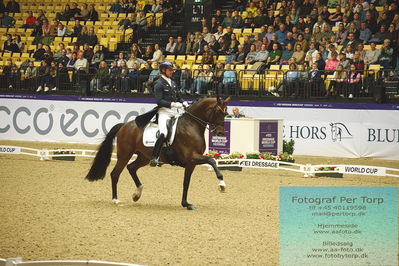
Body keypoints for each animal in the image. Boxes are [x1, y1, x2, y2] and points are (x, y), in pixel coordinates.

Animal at [86, 96, 230, 211]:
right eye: (218, 111)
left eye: (226, 112)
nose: (220, 133)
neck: (191, 126)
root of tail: (124, 125)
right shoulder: (192, 157)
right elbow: (212, 160)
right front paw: (222, 185)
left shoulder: (191, 163)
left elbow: (186, 183)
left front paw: (186, 204)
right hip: (125, 154)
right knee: (115, 173)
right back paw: (116, 199)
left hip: (144, 157)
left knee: (131, 168)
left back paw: (137, 194)